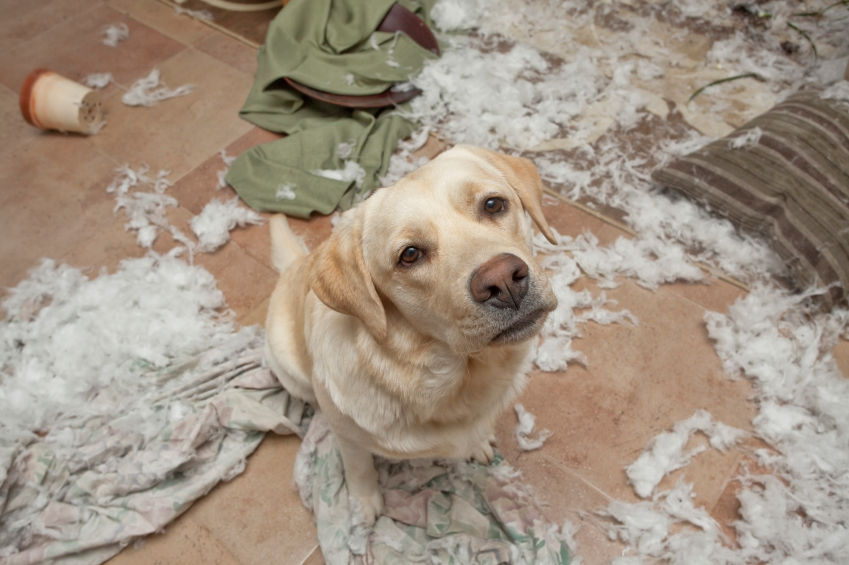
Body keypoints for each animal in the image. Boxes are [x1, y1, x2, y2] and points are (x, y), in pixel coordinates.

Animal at [264, 144, 556, 520]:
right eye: (410, 255)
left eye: (493, 204)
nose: (503, 281)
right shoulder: (348, 438)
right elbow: (358, 467)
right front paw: (363, 503)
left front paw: (477, 442)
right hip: (289, 366)